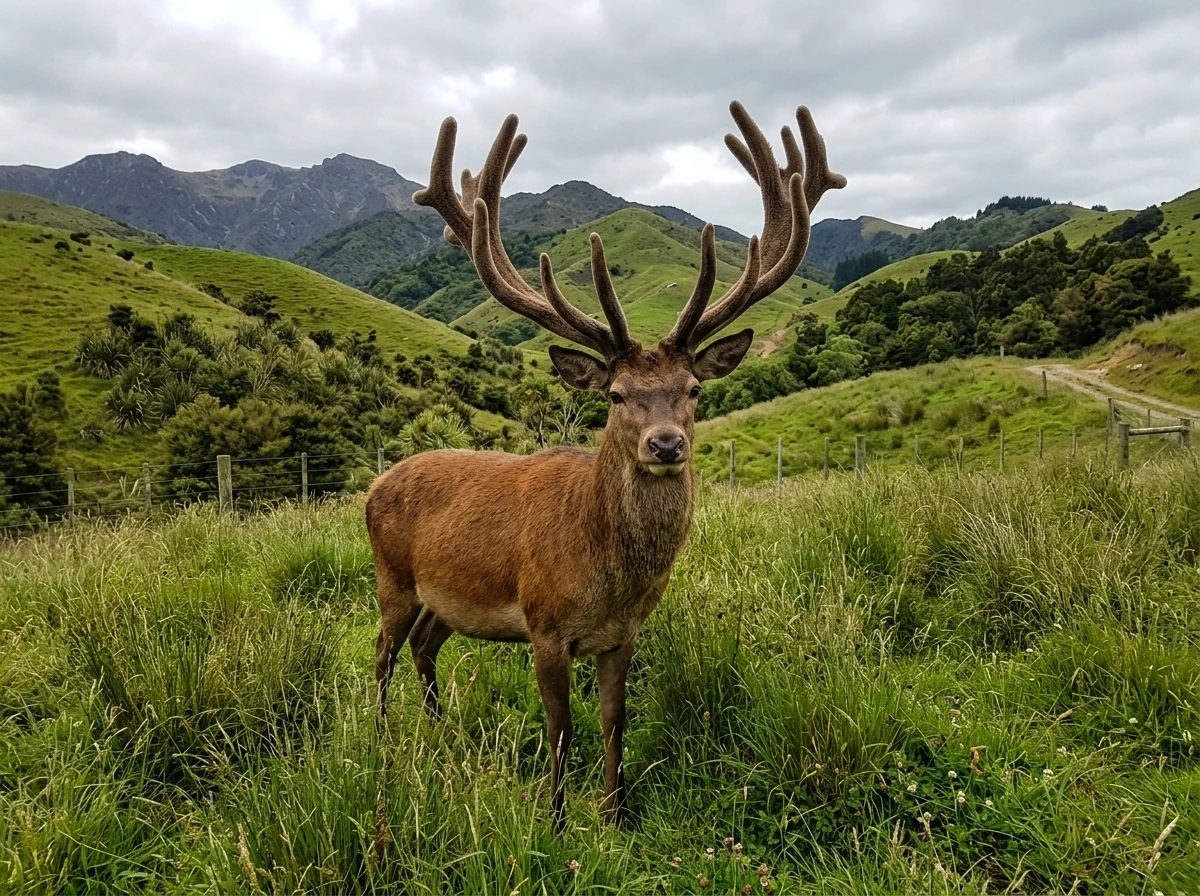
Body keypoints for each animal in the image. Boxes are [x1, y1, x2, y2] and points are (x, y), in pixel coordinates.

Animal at [366, 100, 844, 827]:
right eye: (617, 395)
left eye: (693, 389)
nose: (666, 444)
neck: (608, 574)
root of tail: (372, 487)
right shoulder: (544, 626)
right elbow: (561, 728)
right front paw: (558, 820)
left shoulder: (624, 635)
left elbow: (616, 720)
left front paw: (617, 812)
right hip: (391, 576)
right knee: (382, 654)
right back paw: (382, 744)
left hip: (442, 599)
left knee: (423, 645)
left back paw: (440, 732)